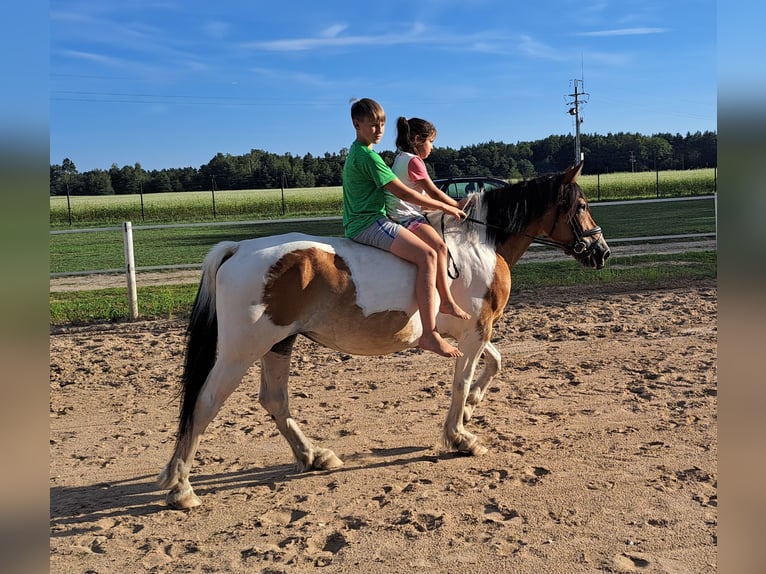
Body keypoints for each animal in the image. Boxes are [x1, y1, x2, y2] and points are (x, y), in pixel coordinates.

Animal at [158, 164, 612, 510]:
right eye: (582, 206)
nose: (602, 251)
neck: (480, 245)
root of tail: (239, 249)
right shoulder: (475, 331)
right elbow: (462, 381)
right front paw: (460, 436)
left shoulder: (472, 331)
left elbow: (495, 363)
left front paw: (470, 410)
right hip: (241, 351)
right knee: (205, 403)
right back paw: (182, 488)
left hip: (278, 345)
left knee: (274, 401)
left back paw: (313, 455)